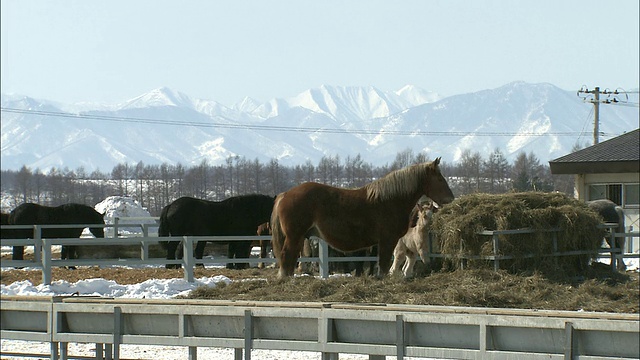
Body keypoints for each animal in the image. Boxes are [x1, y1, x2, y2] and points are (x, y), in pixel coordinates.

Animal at [270, 158, 456, 278]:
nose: (450, 199)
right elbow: (384, 266)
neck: (390, 200)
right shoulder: (387, 240)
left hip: (299, 237)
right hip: (295, 236)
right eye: (439, 178)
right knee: (287, 257)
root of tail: (285, 194)